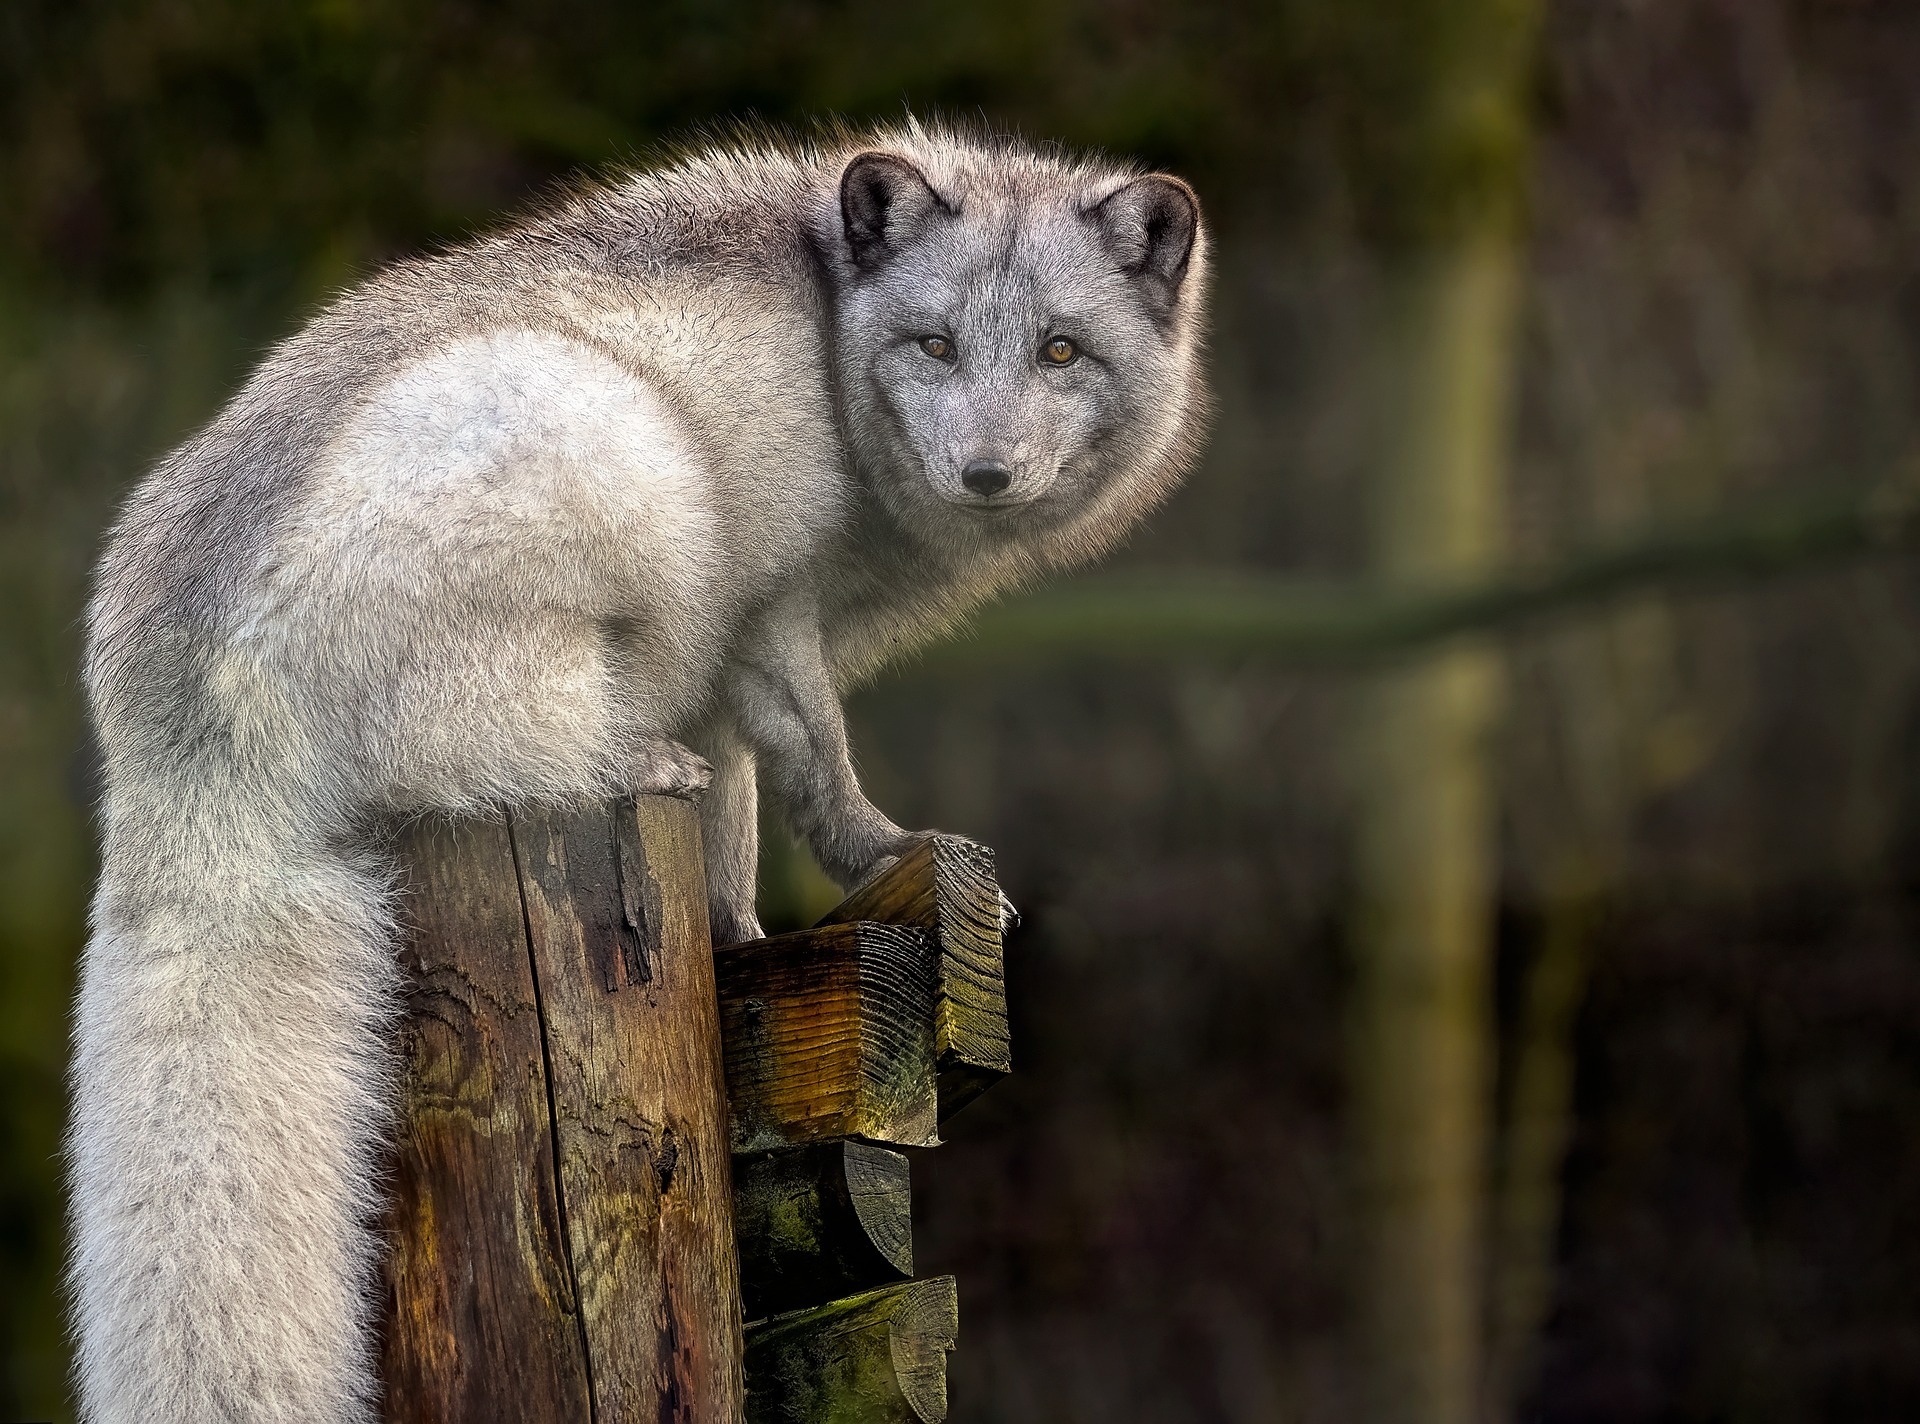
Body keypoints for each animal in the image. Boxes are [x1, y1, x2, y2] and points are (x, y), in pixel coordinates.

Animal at [78, 125, 1213, 1424]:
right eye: (935, 344)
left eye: (1061, 349)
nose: (984, 471)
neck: (828, 337)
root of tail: (164, 712)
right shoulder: (768, 603)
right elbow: (814, 758)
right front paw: (883, 846)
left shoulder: (718, 664)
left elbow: (737, 817)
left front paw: (736, 936)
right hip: (621, 469)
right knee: (465, 751)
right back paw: (616, 758)